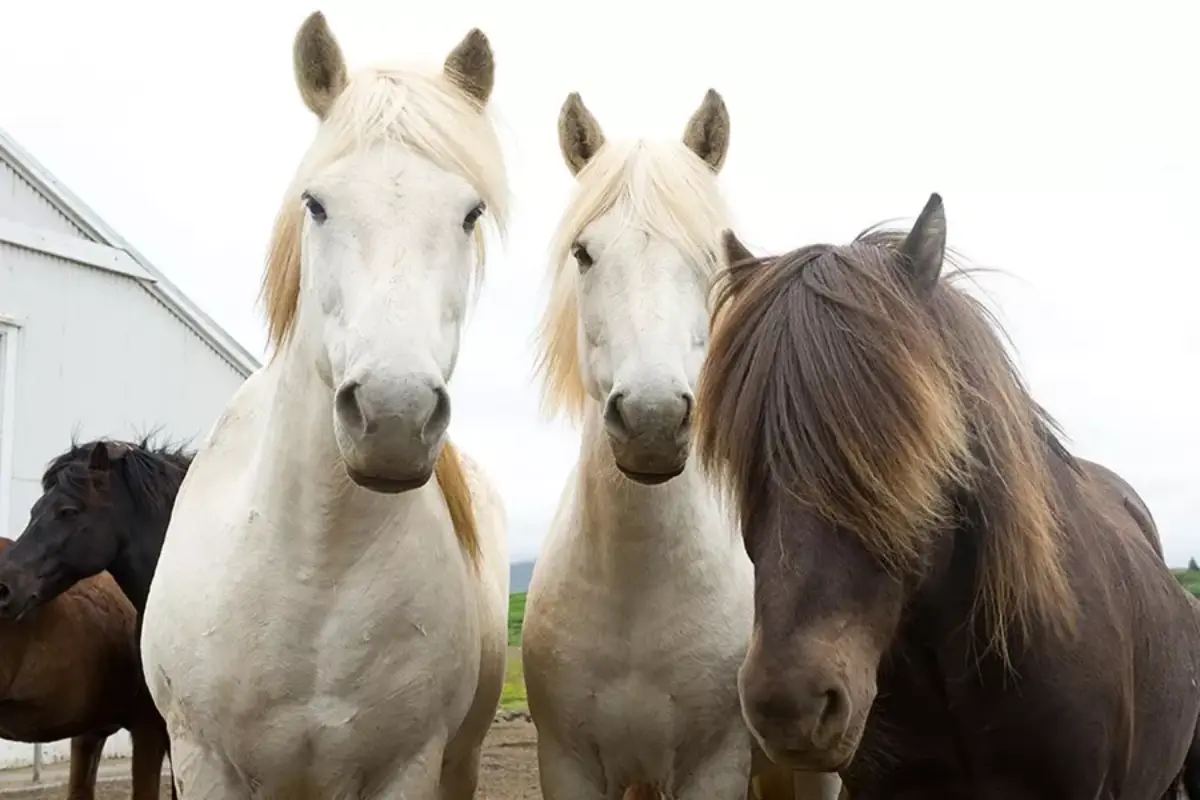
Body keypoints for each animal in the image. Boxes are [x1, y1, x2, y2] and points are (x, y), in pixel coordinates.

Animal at [138, 11, 510, 799]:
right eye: (316, 203)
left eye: (470, 212)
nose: (394, 417)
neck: (314, 572)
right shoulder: (202, 760)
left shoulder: (409, 767)